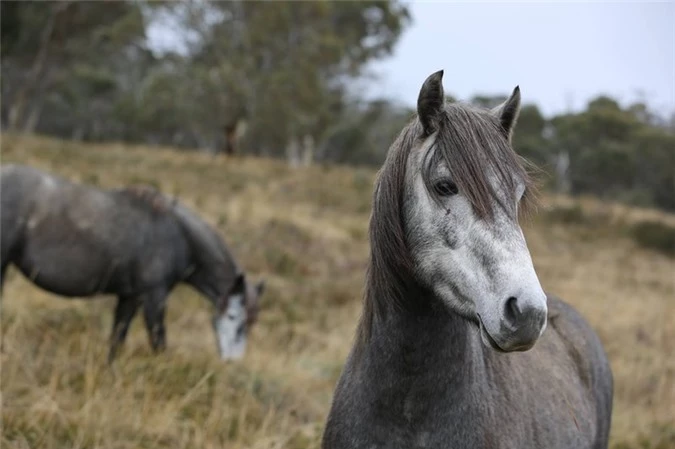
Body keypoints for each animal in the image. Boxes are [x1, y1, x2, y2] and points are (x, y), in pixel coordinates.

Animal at [1, 164, 266, 360]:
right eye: (233, 317)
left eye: (251, 323)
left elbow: (117, 341)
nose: (231, 361)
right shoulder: (154, 299)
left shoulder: (129, 298)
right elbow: (159, 345)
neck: (178, 234)